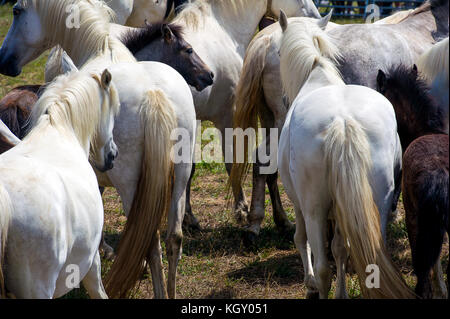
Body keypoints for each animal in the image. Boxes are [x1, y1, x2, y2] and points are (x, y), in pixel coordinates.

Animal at [276, 10, 414, 300]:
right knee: (375, 259)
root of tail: (343, 122)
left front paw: (309, 283)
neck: (317, 74)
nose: (283, 99)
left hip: (314, 208)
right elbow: (341, 248)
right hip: (378, 204)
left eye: (279, 52)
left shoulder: (300, 204)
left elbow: (301, 239)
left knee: (322, 266)